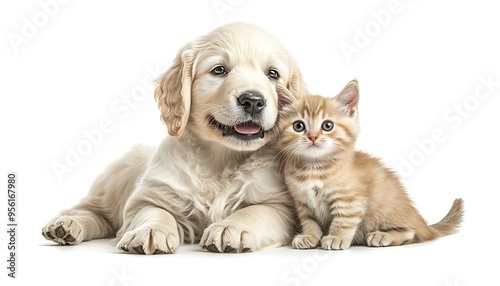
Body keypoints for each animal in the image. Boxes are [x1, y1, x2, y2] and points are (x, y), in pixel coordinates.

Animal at [42, 22, 308, 255]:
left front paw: (230, 227)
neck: (222, 159)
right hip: (112, 181)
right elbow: (155, 212)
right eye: (219, 70)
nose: (252, 100)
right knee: (91, 209)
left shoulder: (279, 205)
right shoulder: (148, 197)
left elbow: (254, 211)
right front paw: (151, 231)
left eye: (273, 74)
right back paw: (66, 224)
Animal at [276, 79, 462, 249]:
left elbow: (343, 221)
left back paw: (382, 236)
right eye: (298, 126)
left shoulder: (350, 200)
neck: (313, 168)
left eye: (327, 125)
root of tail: (424, 224)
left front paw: (337, 238)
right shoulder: (303, 203)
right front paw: (309, 236)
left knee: (412, 232)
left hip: (387, 210)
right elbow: (309, 221)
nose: (313, 137)